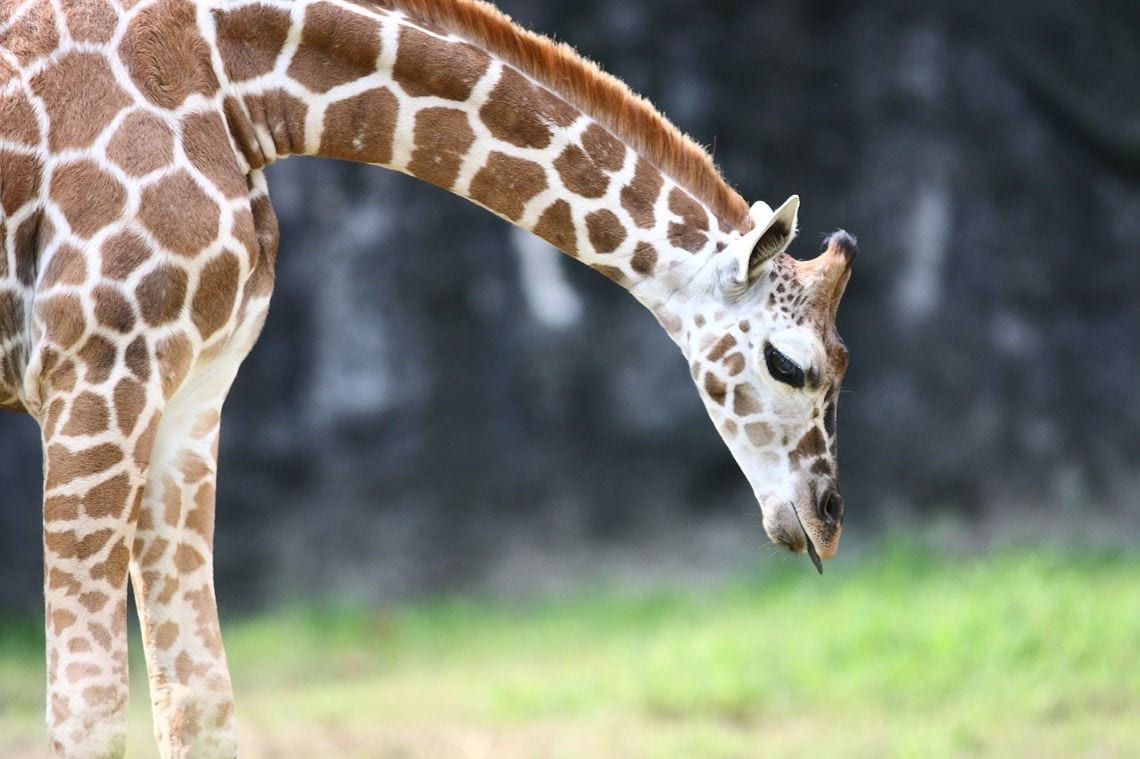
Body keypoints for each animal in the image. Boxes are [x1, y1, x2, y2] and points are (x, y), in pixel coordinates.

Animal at [0, 0, 857, 752]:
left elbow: (198, 702)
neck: (239, 83)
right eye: (789, 363)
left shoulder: (192, 395)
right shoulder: (94, 370)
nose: (827, 518)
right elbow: (87, 705)